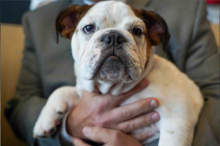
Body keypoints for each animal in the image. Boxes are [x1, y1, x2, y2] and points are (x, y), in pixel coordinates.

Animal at [33, 1, 204, 146]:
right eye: (88, 28)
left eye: (137, 31)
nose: (114, 37)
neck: (111, 87)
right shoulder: (85, 91)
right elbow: (63, 90)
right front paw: (46, 118)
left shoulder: (176, 119)